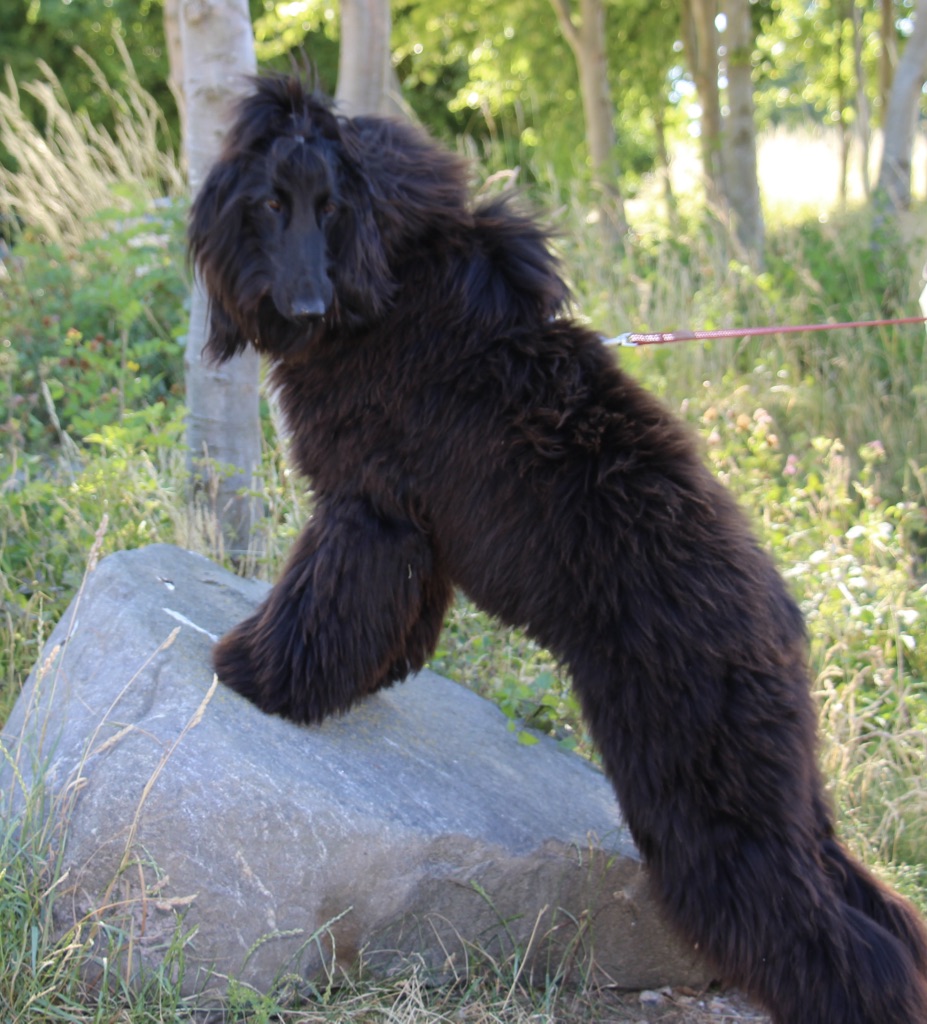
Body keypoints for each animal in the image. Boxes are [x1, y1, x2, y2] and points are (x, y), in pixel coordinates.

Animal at [188, 74, 927, 1023]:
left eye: (332, 207)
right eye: (272, 202)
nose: (307, 305)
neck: (384, 296)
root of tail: (781, 624)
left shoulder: (367, 512)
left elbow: (318, 603)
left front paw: (261, 675)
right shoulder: (411, 533)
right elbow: (388, 622)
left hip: (705, 795)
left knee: (824, 940)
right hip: (784, 790)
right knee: (873, 910)